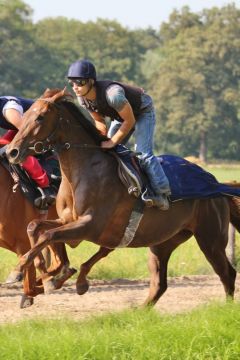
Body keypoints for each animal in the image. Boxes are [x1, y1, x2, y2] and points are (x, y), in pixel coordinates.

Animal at [6, 88, 240, 306]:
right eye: (25, 115)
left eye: (40, 117)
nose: (12, 151)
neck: (84, 169)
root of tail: (215, 183)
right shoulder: (67, 220)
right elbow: (35, 227)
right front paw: (47, 273)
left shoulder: (90, 225)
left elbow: (49, 235)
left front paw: (23, 272)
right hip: (164, 241)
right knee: (160, 283)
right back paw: (138, 312)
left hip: (210, 238)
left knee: (227, 273)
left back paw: (225, 309)